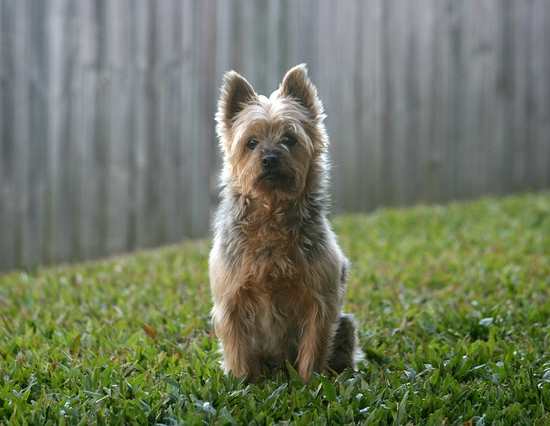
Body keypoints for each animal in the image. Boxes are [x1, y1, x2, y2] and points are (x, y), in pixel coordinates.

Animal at [209, 64, 360, 382]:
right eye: (251, 143)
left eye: (289, 139)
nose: (269, 158)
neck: (272, 212)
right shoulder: (231, 300)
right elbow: (237, 347)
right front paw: (243, 382)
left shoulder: (320, 300)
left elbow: (314, 343)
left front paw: (309, 382)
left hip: (346, 325)